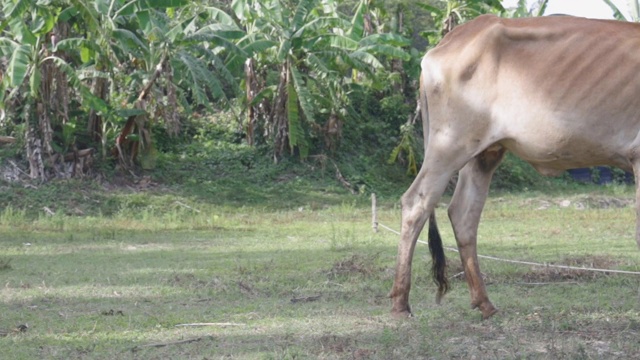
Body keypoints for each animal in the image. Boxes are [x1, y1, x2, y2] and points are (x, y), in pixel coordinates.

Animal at [388, 14, 640, 320]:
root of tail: (453, 38)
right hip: (448, 145)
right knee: (417, 203)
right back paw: (401, 304)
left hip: (484, 154)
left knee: (463, 214)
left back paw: (484, 303)